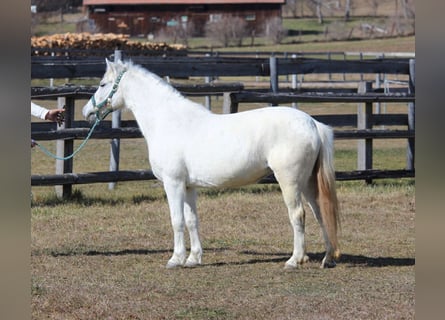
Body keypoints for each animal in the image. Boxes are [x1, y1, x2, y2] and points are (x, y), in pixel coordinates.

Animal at [83, 60, 340, 270]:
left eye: (103, 84)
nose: (87, 111)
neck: (168, 121)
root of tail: (313, 123)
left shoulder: (173, 183)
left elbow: (176, 220)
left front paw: (175, 259)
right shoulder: (188, 186)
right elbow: (191, 220)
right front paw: (193, 258)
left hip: (290, 181)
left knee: (298, 214)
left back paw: (294, 260)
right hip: (308, 182)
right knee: (320, 213)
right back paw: (327, 258)